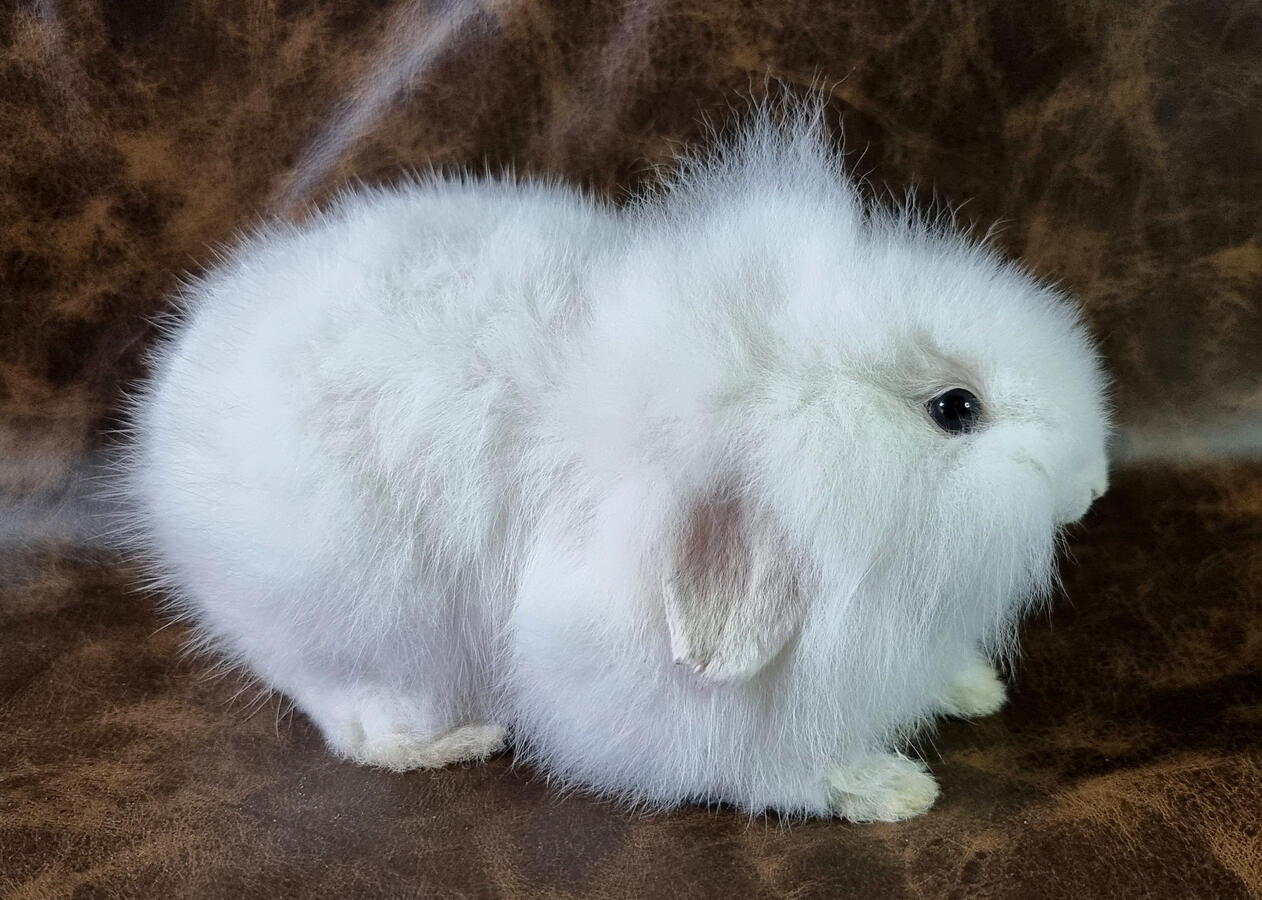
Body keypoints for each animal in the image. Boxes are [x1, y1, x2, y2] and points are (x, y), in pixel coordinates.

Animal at [120, 103, 1110, 822]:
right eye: (956, 409)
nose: (1095, 484)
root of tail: (162, 427)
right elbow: (766, 769)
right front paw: (895, 791)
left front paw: (974, 688)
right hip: (363, 632)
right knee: (356, 724)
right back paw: (462, 740)